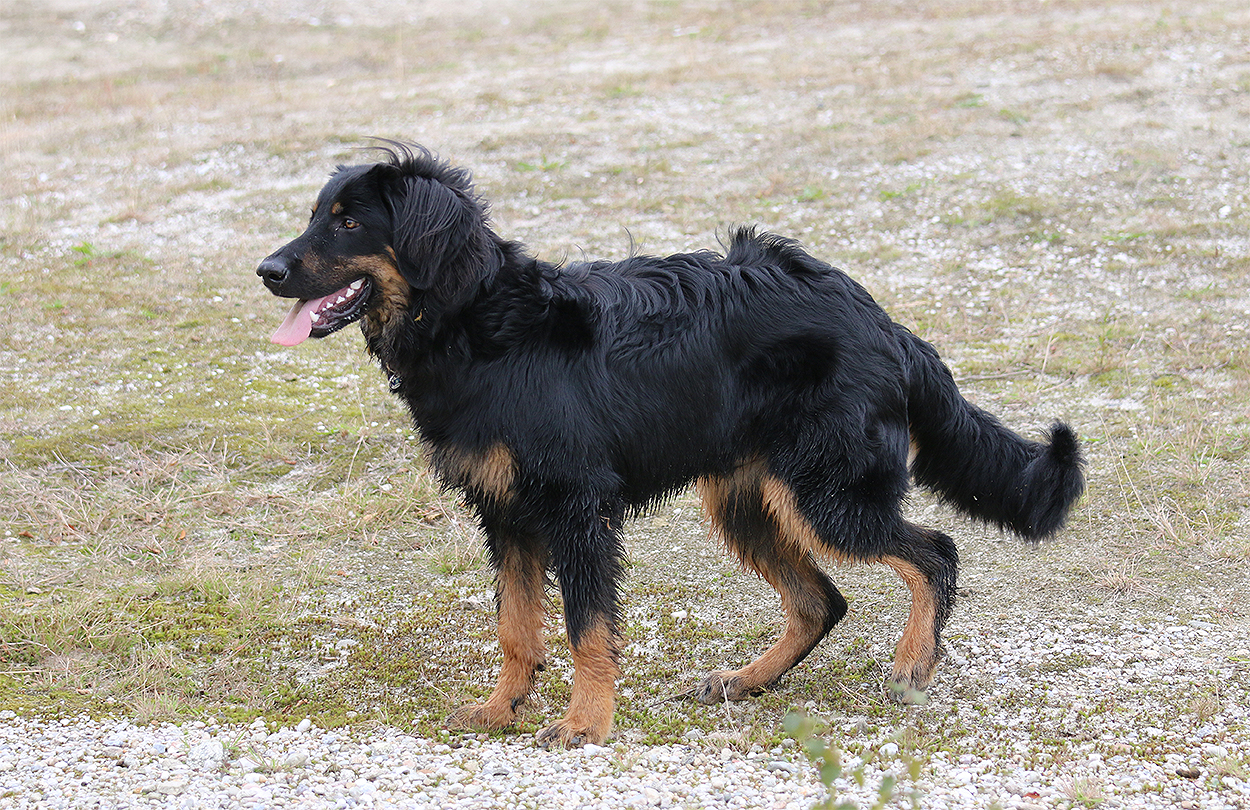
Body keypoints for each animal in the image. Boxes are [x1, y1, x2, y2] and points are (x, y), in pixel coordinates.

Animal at [257, 142, 1084, 748]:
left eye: (349, 224)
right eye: (316, 215)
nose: (266, 271)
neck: (478, 325)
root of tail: (881, 319)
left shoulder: (577, 511)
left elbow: (586, 628)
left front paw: (584, 723)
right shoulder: (506, 514)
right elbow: (515, 629)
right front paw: (500, 709)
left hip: (825, 493)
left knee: (934, 553)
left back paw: (913, 665)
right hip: (749, 501)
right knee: (823, 600)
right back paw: (749, 679)